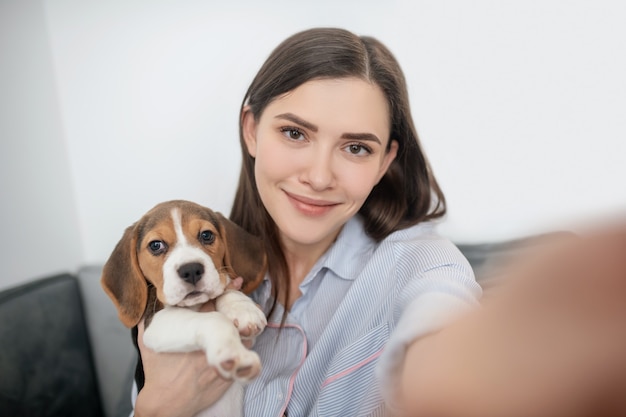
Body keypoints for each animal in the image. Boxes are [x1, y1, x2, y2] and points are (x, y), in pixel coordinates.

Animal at [100, 199, 266, 416]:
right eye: (155, 245)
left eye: (206, 235)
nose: (191, 270)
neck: (194, 305)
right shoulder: (155, 325)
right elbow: (214, 319)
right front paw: (232, 353)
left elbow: (225, 289)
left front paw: (242, 308)